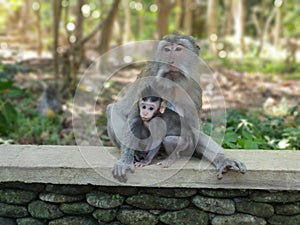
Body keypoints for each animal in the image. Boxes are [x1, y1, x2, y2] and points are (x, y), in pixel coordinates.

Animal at [107, 33, 246, 183]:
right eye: (167, 49)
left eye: (179, 49)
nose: (171, 59)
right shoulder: (146, 82)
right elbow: (133, 118)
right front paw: (126, 161)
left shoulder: (194, 87)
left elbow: (193, 127)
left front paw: (222, 158)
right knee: (113, 110)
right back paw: (138, 154)